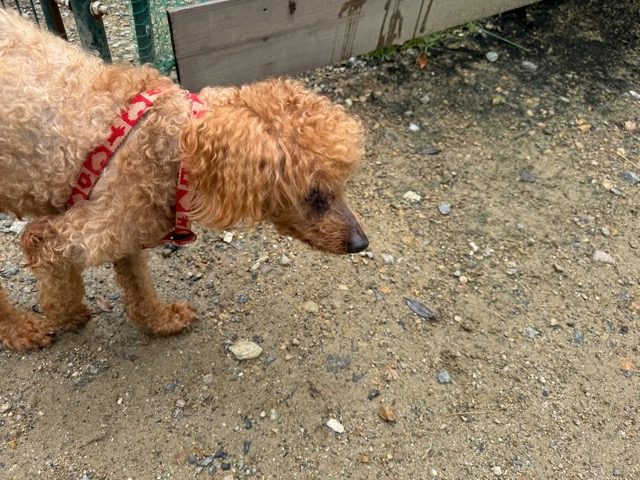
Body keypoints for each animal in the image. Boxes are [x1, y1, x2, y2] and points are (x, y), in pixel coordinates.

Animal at [0, 10, 368, 351]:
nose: (361, 243)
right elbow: (46, 260)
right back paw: (22, 330)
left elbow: (139, 286)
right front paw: (67, 314)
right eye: (315, 193)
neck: (169, 151)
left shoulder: (126, 229)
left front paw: (161, 320)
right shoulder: (67, 235)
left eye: (340, 185)